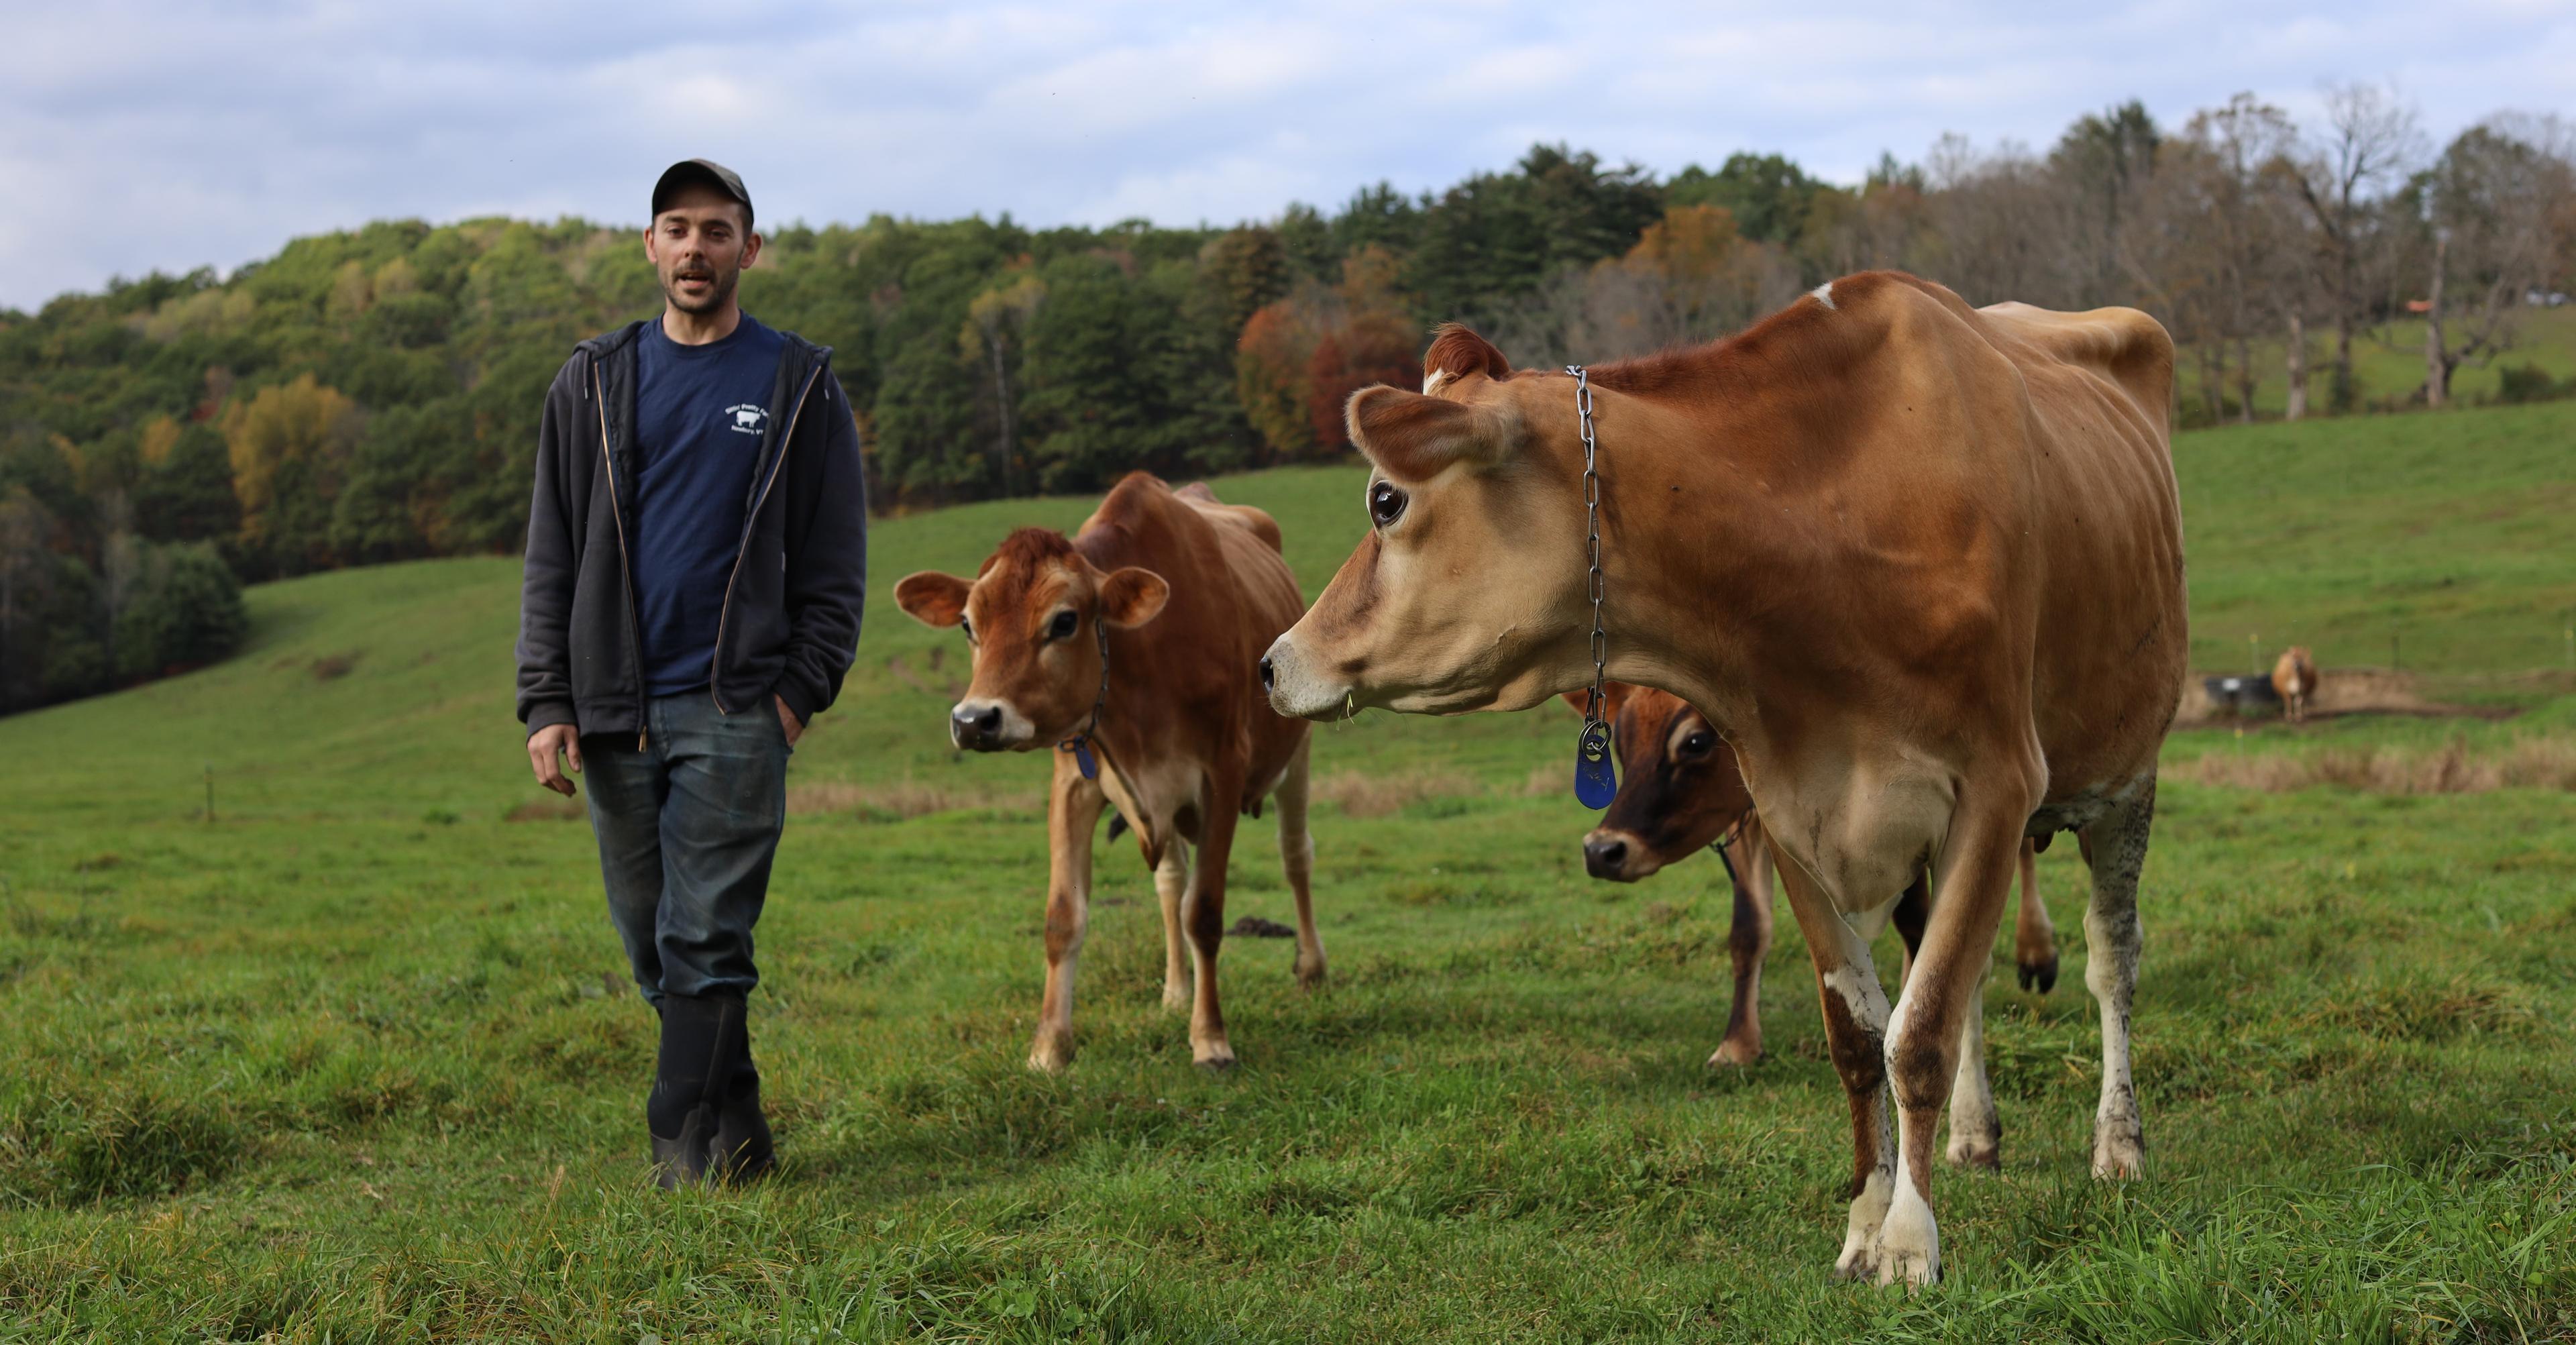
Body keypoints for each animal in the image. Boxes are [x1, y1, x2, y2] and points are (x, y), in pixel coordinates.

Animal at [891, 471, 1329, 1067]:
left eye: (1064, 621)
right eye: (967, 623)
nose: (974, 719)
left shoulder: (1223, 772)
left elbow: (1205, 912)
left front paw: (1211, 1038)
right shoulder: (1074, 783)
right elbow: (1064, 917)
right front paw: (1049, 1047)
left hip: (1296, 749)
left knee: (1295, 856)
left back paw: (1311, 968)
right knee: (1171, 881)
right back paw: (1176, 990)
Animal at [1576, 675, 2061, 1071]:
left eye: (1695, 743)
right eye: (1620, 742)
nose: (1602, 850)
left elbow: (1917, 920)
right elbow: (1748, 929)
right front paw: (1738, 1044)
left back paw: (2036, 951)